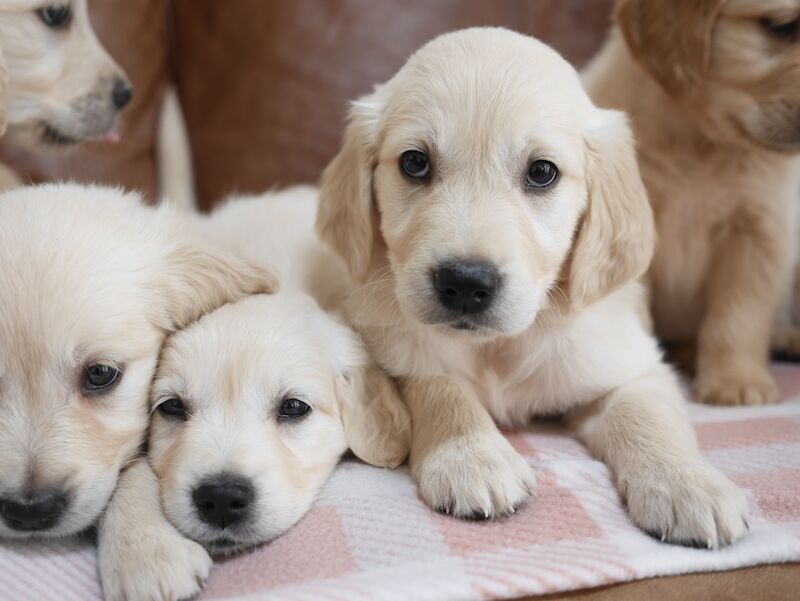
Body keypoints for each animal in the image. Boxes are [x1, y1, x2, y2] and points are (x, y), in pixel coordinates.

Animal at [314, 28, 752, 548]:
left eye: (542, 172)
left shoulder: (628, 365)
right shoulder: (399, 353)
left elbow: (647, 415)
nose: (464, 283)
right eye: (415, 163)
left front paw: (687, 484)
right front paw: (473, 457)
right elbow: (441, 388)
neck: (499, 348)